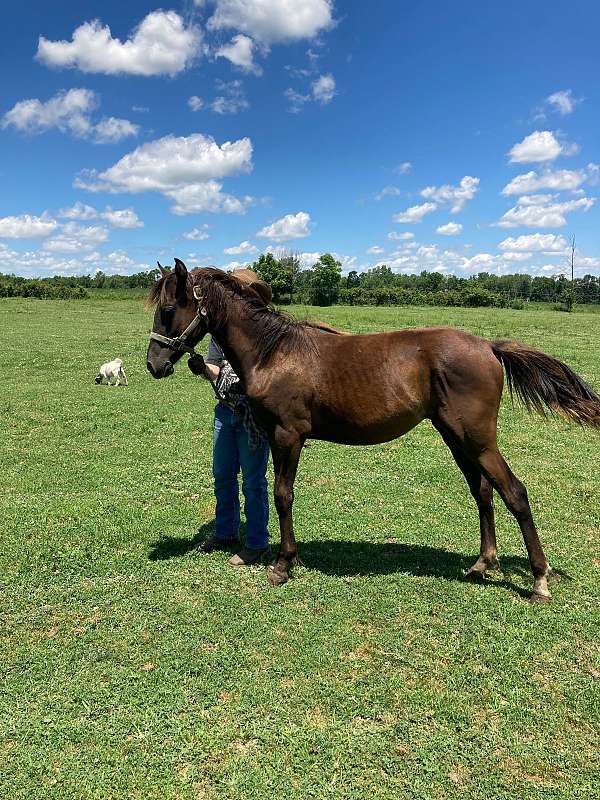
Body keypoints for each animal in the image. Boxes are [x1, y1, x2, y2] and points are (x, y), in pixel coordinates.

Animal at [146, 260, 600, 604]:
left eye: (168, 309)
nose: (154, 364)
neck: (274, 352)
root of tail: (488, 346)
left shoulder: (287, 435)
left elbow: (282, 495)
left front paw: (282, 564)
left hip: (478, 440)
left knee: (514, 493)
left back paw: (539, 580)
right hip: (457, 439)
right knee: (483, 492)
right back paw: (482, 564)